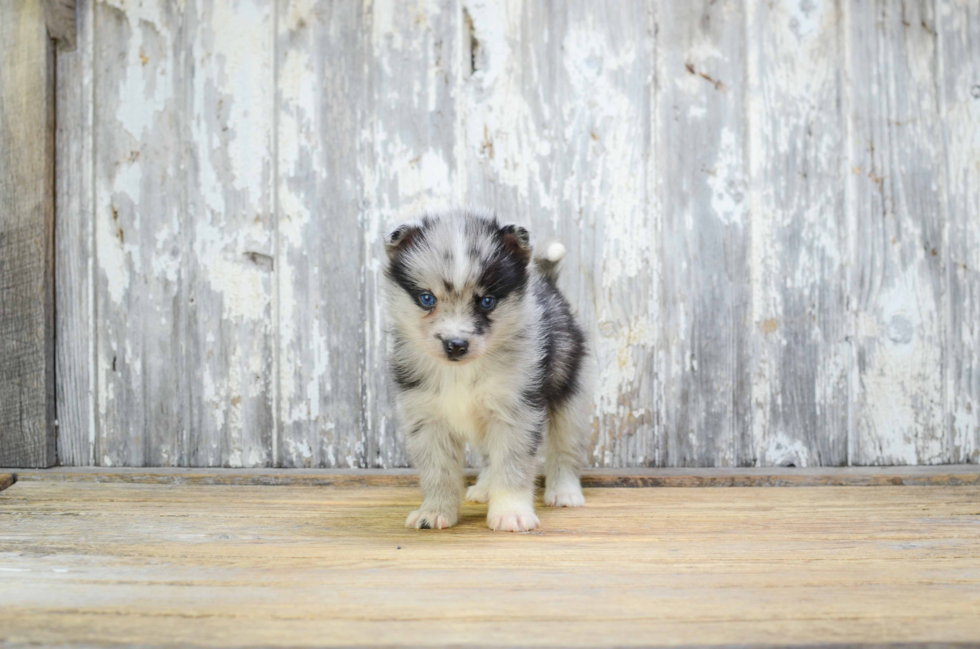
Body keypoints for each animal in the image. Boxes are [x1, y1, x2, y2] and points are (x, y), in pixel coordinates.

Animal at [380, 208, 588, 532]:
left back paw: (565, 492)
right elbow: (438, 471)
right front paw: (435, 511)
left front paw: (511, 513)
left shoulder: (516, 411)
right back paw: (485, 488)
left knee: (565, 449)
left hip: (568, 395)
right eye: (427, 299)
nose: (455, 345)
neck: (461, 372)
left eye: (487, 302)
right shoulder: (426, 417)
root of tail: (549, 285)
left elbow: (512, 467)